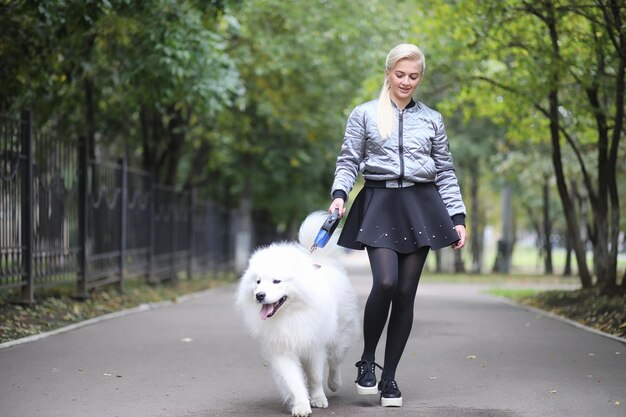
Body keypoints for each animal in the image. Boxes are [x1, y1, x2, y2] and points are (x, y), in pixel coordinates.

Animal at [234, 213, 358, 414]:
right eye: (258, 282)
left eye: (276, 281)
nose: (259, 295)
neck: (290, 314)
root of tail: (322, 261)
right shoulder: (282, 349)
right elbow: (293, 380)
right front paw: (301, 404)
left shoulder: (314, 345)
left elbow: (315, 376)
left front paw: (318, 398)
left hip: (340, 335)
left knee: (335, 361)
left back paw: (335, 383)